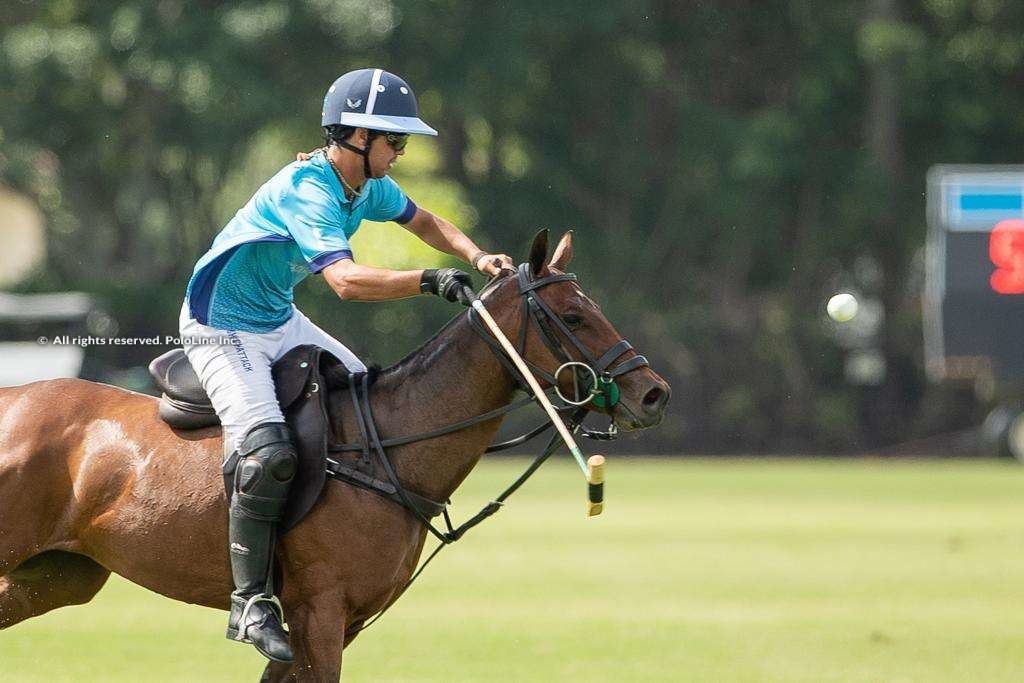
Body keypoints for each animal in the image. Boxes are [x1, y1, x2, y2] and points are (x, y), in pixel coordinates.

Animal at [0, 232, 671, 679]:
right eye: (573, 315)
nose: (653, 394)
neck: (390, 449)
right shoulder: (320, 611)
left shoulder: (339, 622)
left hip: (59, 575)